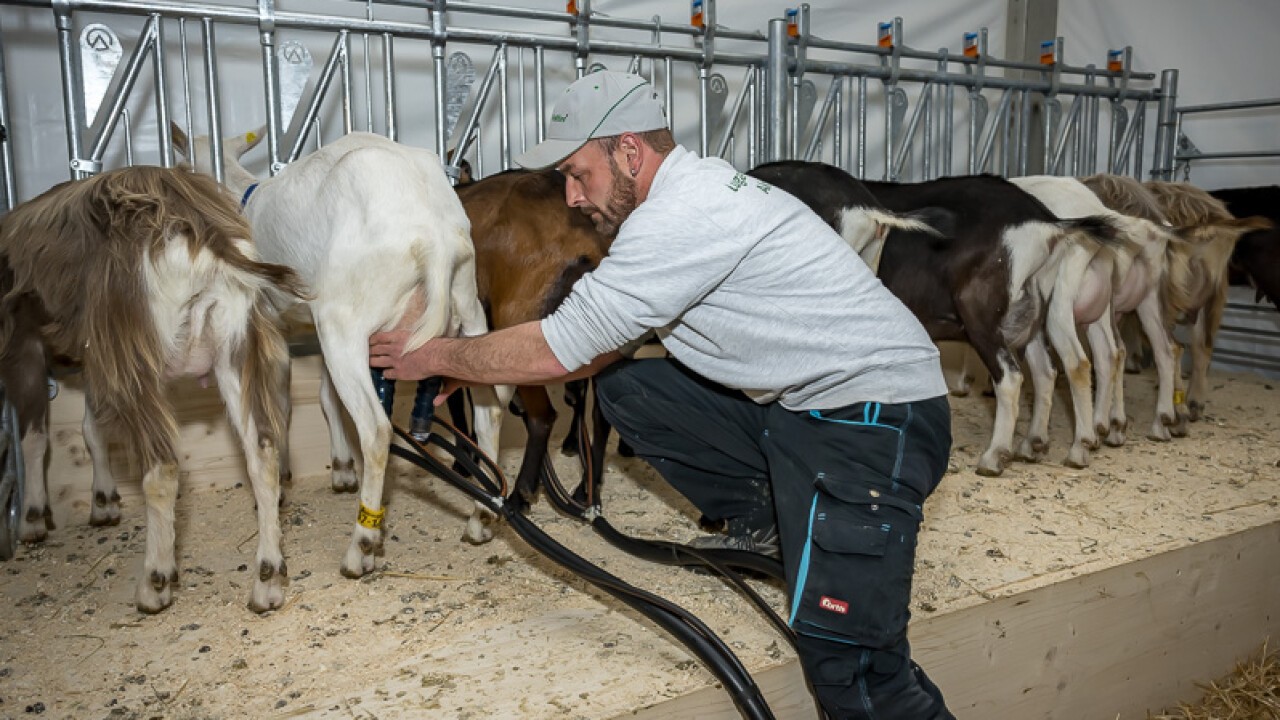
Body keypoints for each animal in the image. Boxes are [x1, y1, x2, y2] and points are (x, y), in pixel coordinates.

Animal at [0, 166, 304, 609]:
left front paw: (33, 519)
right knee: (261, 453)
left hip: (136, 361)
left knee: (162, 467)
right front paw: (103, 503)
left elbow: (35, 436)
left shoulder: (25, 343)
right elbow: (90, 428)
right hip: (233, 345)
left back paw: (155, 582)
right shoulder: (96, 358)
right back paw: (267, 582)